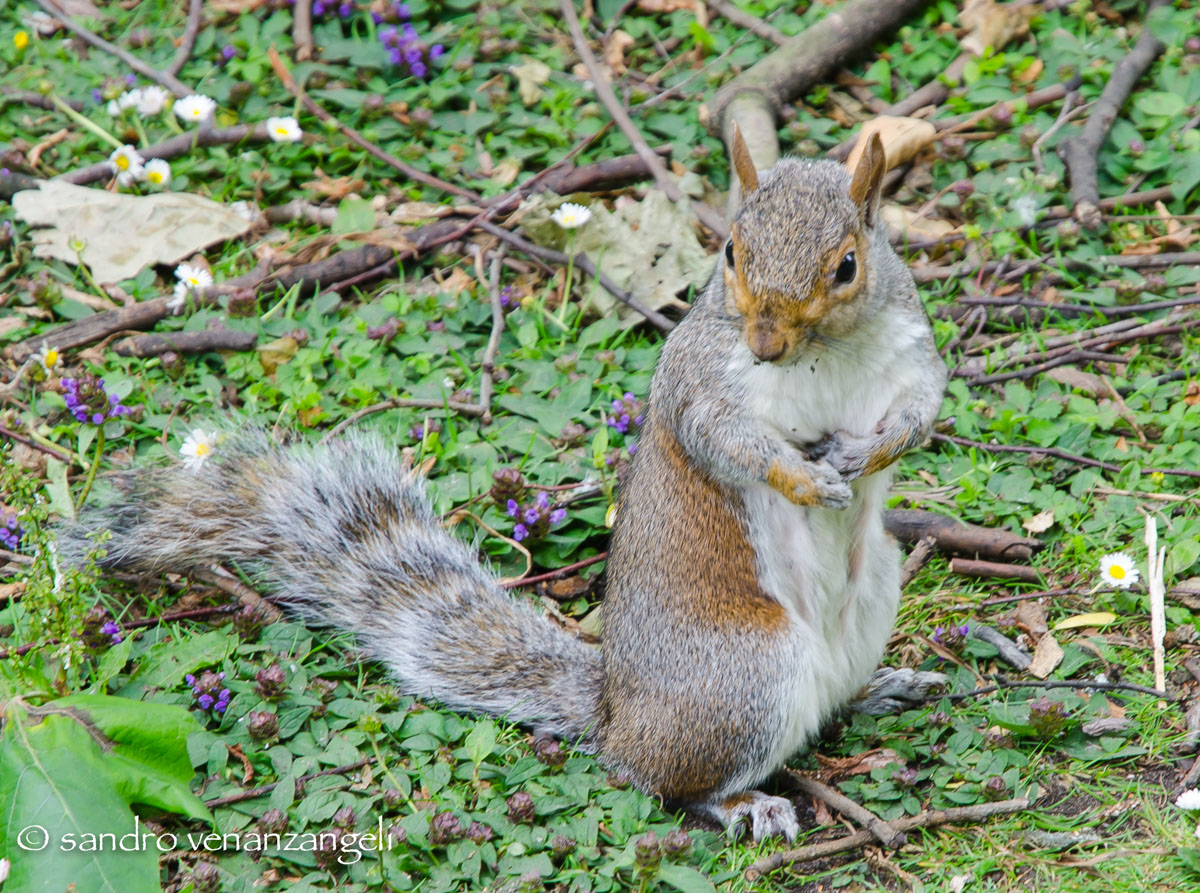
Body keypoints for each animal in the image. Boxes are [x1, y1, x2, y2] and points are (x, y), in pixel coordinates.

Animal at [60, 129, 948, 842]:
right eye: (730, 252)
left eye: (847, 265)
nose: (765, 344)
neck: (825, 356)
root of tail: (618, 710)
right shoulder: (702, 384)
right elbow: (727, 441)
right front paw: (804, 476)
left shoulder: (911, 353)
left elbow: (921, 413)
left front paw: (869, 452)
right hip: (744, 673)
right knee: (664, 780)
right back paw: (741, 802)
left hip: (872, 597)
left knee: (825, 701)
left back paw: (879, 688)